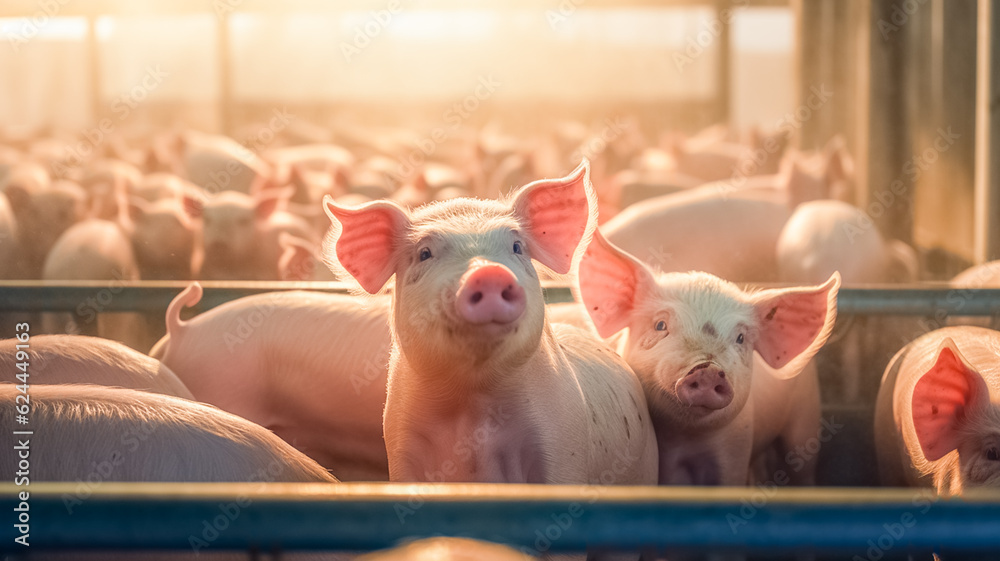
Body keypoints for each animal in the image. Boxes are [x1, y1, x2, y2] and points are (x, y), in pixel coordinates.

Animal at [323, 160, 658, 485]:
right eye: (424, 253)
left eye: (517, 247)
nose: (488, 272)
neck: (473, 400)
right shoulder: (400, 443)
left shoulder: (563, 442)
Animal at [569, 230, 839, 485]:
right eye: (660, 325)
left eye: (740, 338)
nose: (708, 369)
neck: (685, 440)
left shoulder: (735, 449)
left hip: (806, 416)